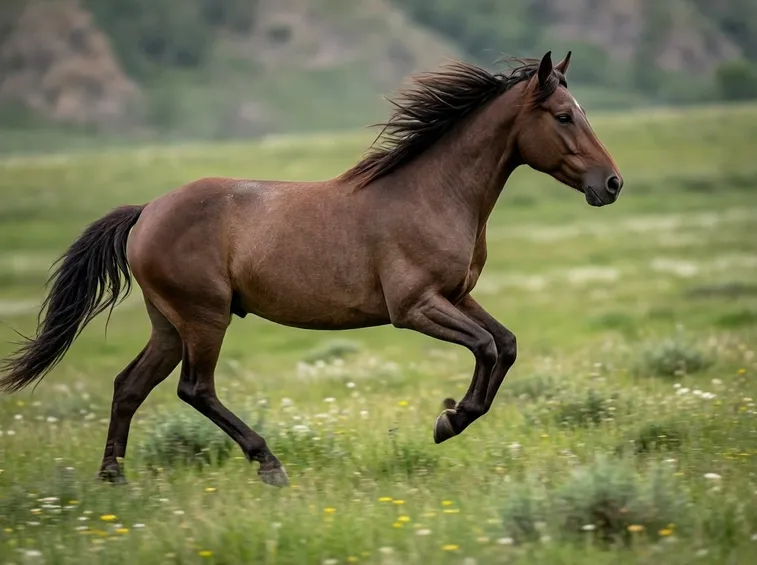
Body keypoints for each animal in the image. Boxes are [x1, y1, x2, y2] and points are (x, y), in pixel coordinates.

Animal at [0, 51, 623, 487]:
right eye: (564, 116)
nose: (612, 184)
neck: (434, 193)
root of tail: (146, 211)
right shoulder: (414, 307)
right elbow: (488, 348)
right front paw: (450, 419)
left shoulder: (457, 295)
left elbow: (507, 344)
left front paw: (451, 417)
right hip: (204, 318)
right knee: (195, 388)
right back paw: (268, 463)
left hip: (169, 324)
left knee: (129, 386)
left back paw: (113, 479)